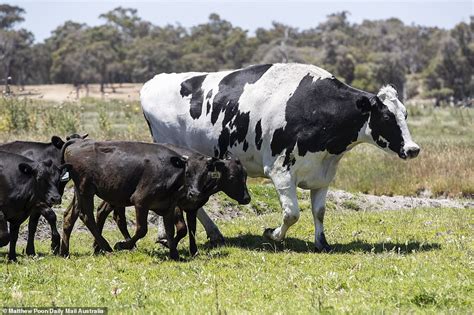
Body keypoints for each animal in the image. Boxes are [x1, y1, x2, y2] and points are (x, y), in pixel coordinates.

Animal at [140, 63, 418, 252]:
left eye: (405, 113)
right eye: (386, 116)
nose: (413, 149)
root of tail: (153, 81)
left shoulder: (322, 175)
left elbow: (319, 211)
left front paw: (322, 243)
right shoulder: (280, 171)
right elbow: (292, 213)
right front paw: (272, 235)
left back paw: (211, 233)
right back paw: (166, 235)